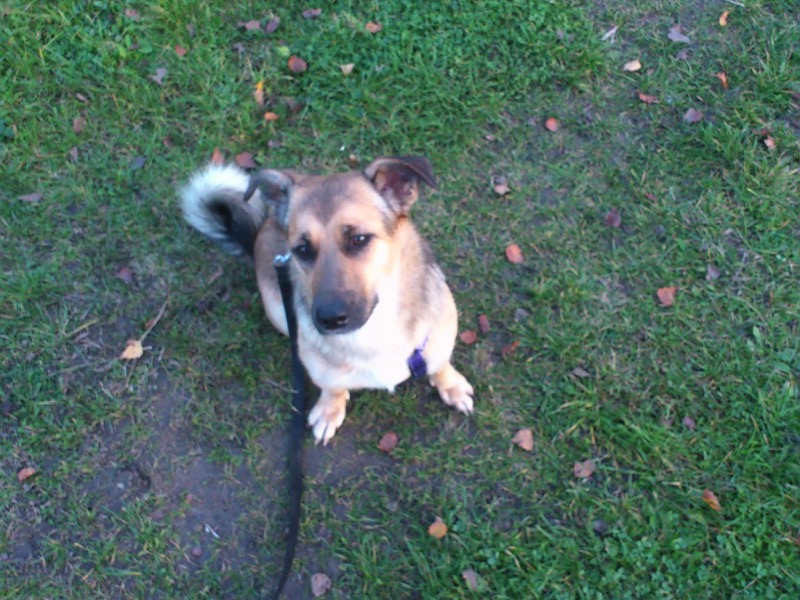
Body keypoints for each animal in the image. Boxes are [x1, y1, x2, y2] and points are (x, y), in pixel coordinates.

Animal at [180, 156, 474, 444]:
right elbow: (333, 387)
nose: (330, 319)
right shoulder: (321, 369)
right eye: (302, 249)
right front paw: (330, 409)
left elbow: (440, 365)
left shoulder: (439, 339)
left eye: (359, 239)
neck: (375, 329)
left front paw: (452, 386)